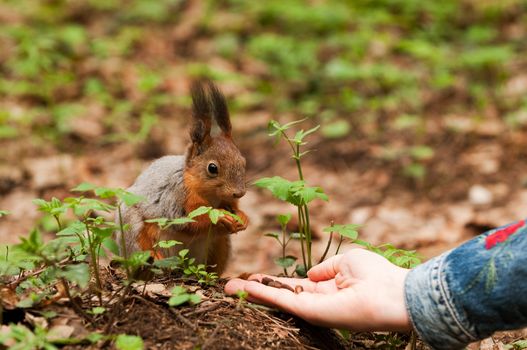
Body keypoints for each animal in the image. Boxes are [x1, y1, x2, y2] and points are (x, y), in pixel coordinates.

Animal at [118, 80, 251, 274]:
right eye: (212, 168)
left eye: (243, 161)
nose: (239, 193)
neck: (210, 194)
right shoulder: (176, 196)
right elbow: (187, 222)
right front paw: (220, 216)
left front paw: (242, 216)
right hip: (132, 229)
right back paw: (155, 257)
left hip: (221, 246)